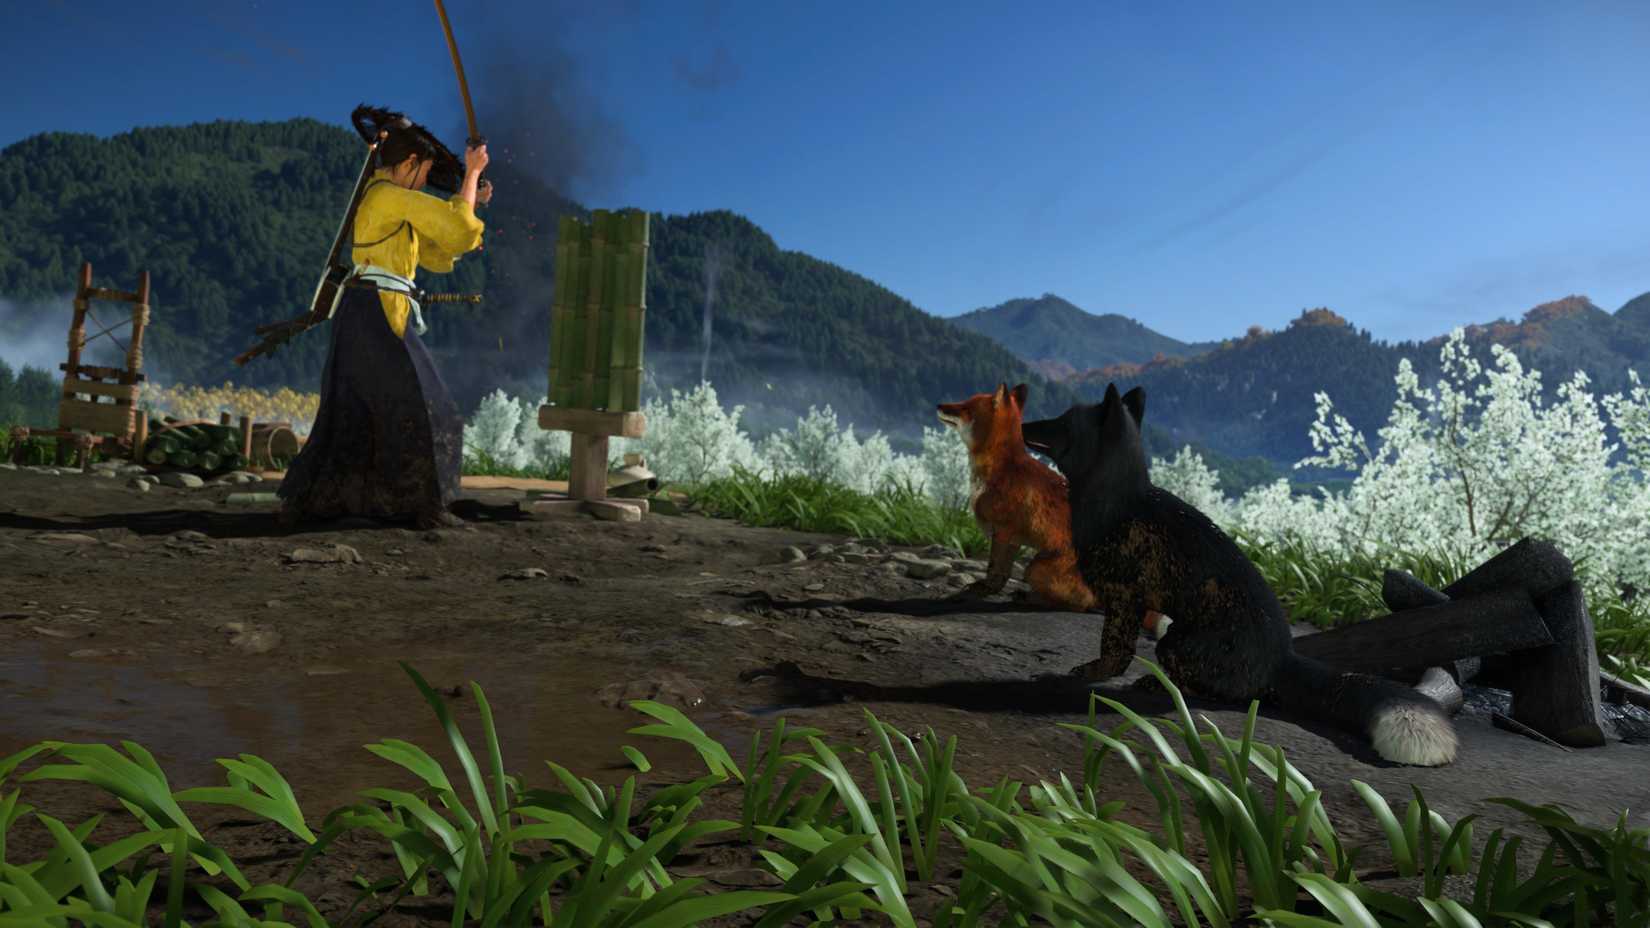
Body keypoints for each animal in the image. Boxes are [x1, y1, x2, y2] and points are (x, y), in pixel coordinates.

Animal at [1020, 383, 1457, 766]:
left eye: (1062, 421)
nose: (1022, 422)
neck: (1119, 499)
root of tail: (1283, 658)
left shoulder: (1125, 599)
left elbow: (1116, 652)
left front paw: (1090, 675)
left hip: (1175, 643)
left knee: (1226, 693)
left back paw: (1164, 686)